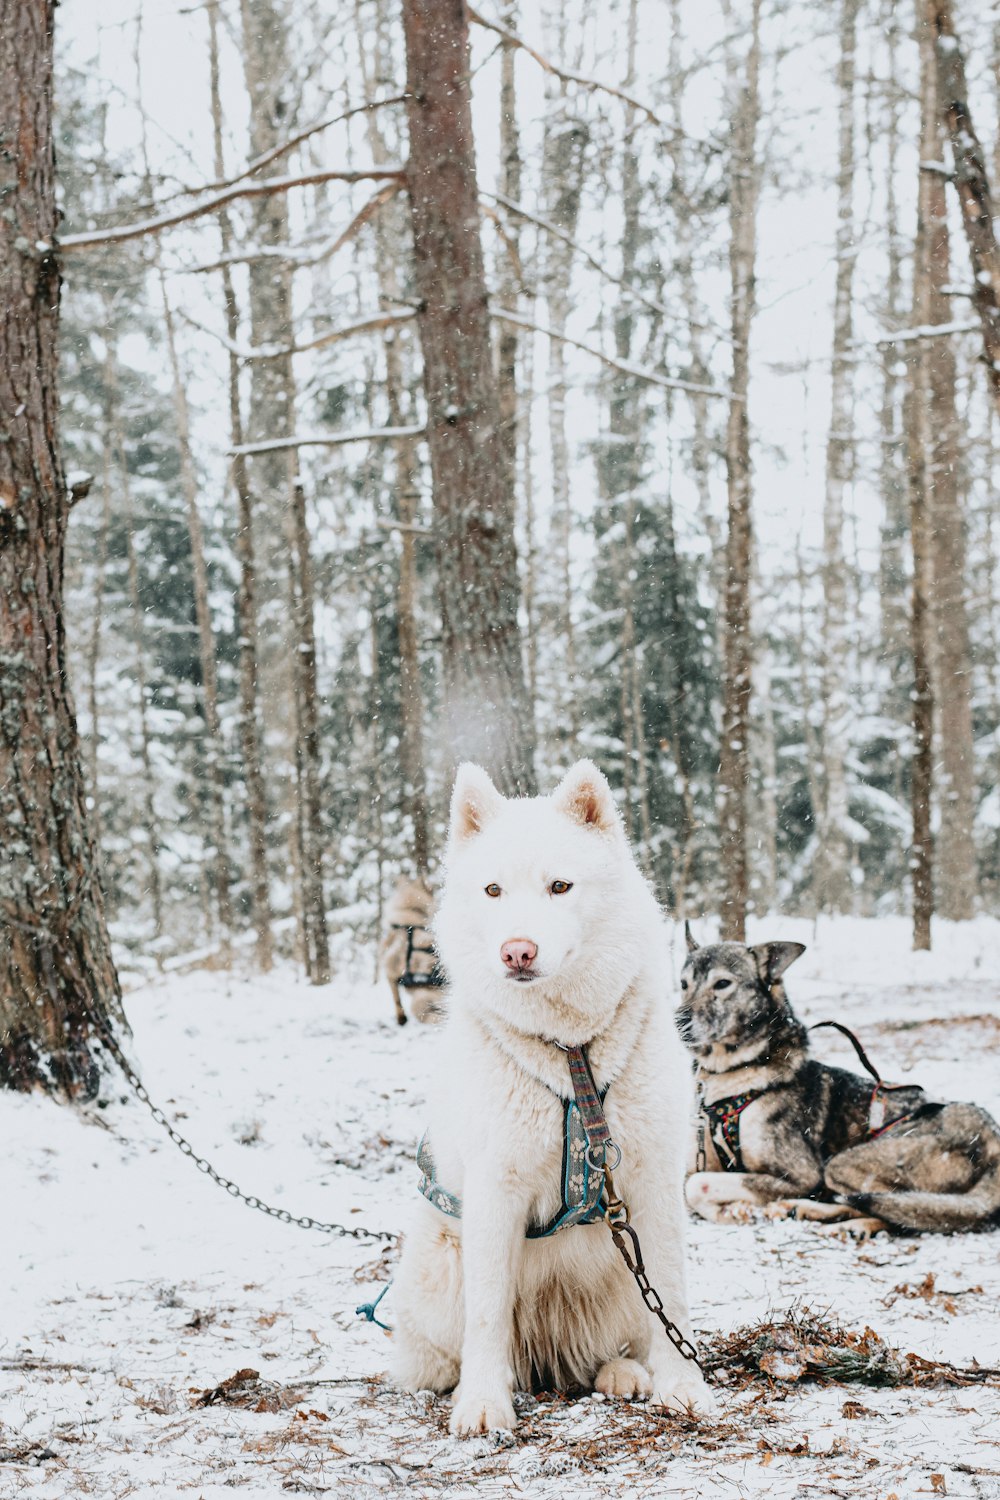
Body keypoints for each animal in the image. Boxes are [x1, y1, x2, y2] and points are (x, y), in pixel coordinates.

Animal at [671, 930, 1000, 1236]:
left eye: (722, 984)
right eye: (684, 984)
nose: (678, 1022)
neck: (733, 1078)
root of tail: (992, 1136)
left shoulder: (801, 1175)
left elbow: (696, 1184)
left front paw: (733, 1210)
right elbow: (685, 1182)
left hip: (844, 1163)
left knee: (894, 1212)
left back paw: (840, 1221)